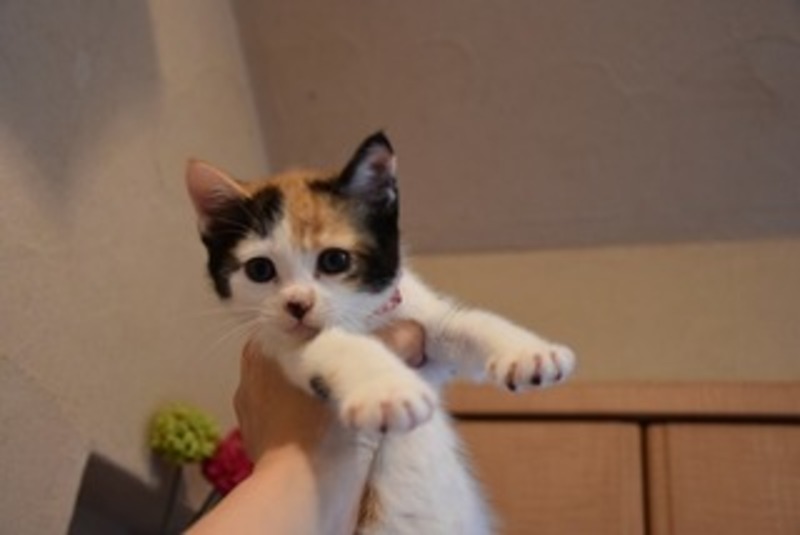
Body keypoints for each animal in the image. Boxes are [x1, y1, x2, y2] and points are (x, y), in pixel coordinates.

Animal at [185, 132, 576, 534]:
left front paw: (529, 353)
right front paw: (387, 390)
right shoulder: (281, 347)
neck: (362, 318)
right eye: (260, 269)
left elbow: (462, 324)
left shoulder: (419, 327)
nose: (297, 304)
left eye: (335, 260)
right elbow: (334, 344)